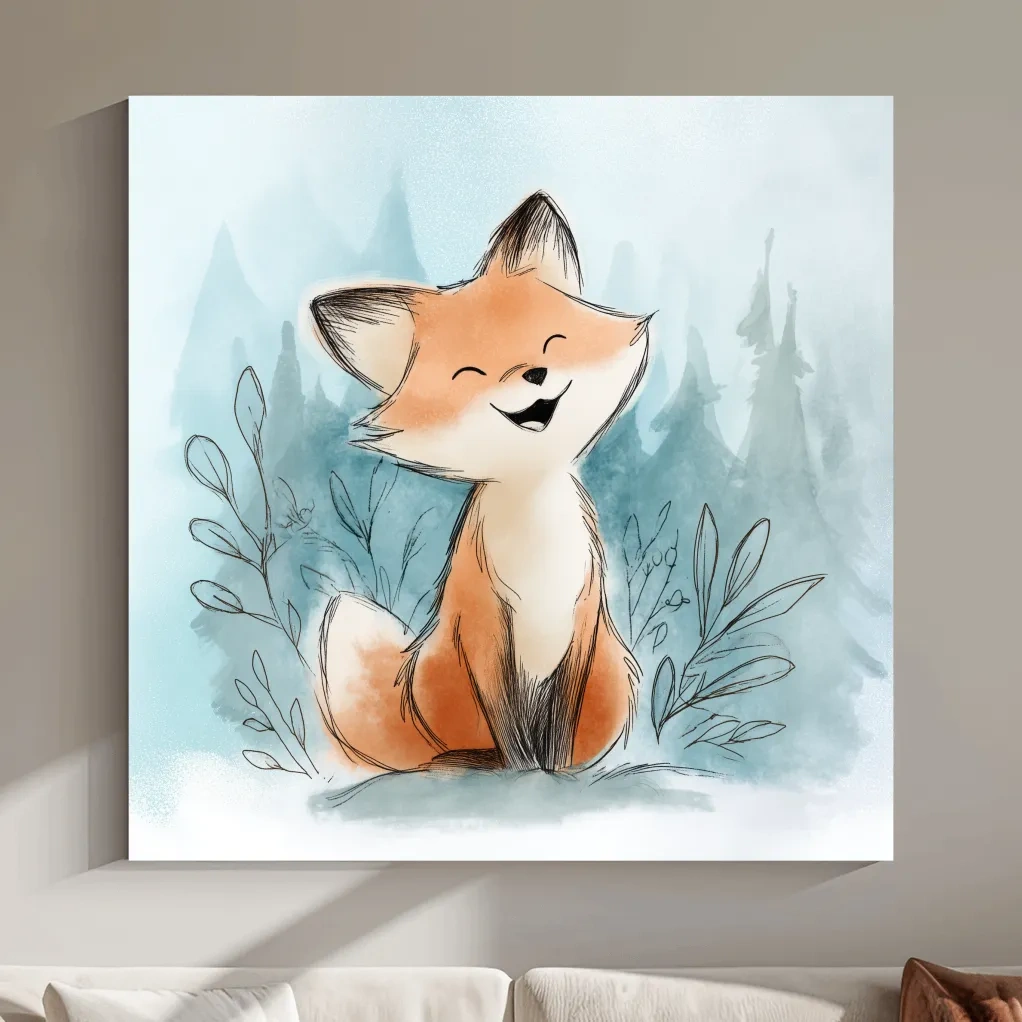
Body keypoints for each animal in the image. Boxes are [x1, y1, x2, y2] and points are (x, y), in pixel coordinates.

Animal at [306, 192, 651, 775]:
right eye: (471, 373)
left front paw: (553, 772)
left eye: (552, 342)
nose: (533, 375)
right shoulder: (485, 628)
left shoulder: (582, 618)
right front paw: (524, 772)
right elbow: (511, 730)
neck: (536, 541)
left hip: (612, 674)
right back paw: (470, 760)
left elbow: (558, 731)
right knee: (456, 751)